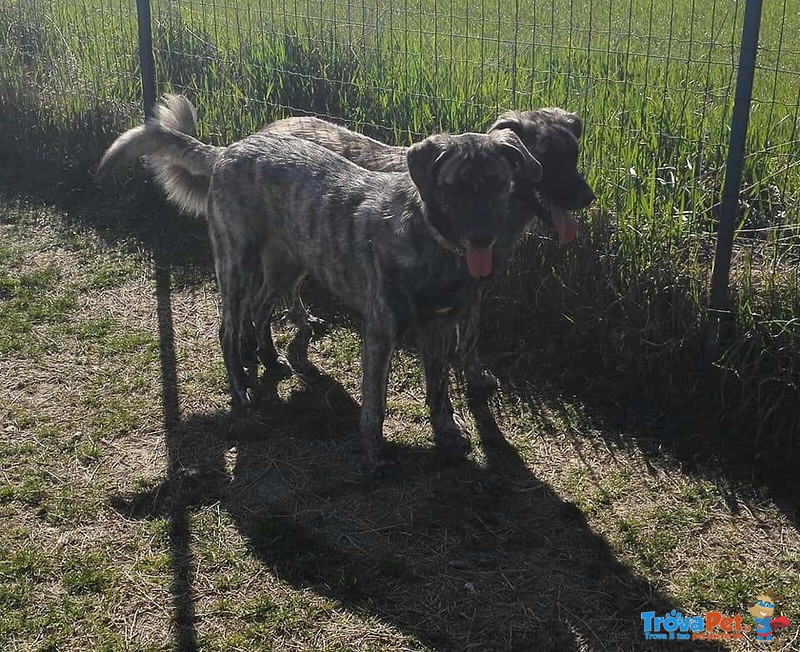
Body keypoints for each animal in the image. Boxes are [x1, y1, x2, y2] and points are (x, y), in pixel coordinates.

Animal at [97, 94, 540, 474]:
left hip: (288, 266)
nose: (482, 238)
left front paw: (446, 432)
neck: (430, 240)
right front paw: (373, 451)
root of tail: (228, 150)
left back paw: (269, 358)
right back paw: (240, 388)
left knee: (260, 309)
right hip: (238, 264)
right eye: (454, 188)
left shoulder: (440, 327)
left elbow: (440, 390)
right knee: (228, 328)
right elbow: (376, 403)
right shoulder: (379, 332)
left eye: (498, 183)